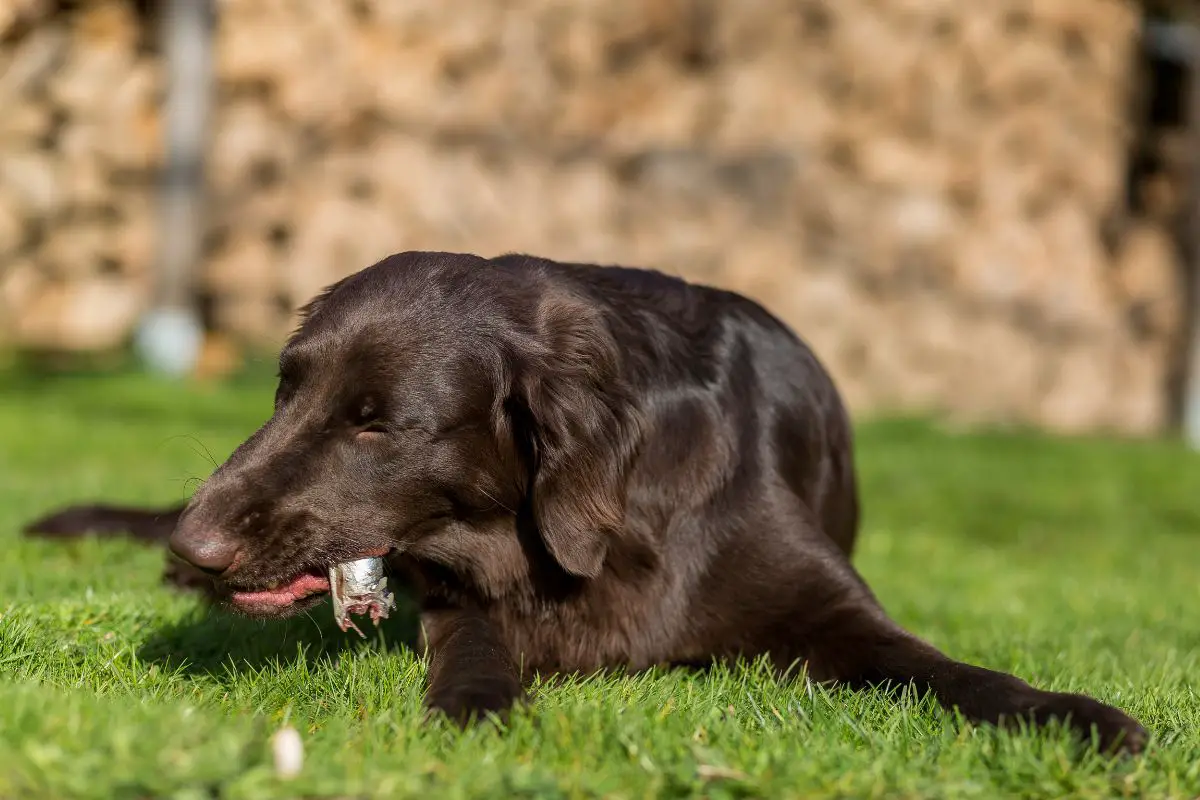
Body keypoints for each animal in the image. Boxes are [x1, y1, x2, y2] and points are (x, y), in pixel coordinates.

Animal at [23, 251, 1147, 758]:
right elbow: (476, 651)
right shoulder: (466, 599)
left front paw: (1074, 713)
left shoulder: (831, 609)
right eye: (284, 392)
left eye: (377, 424)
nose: (194, 542)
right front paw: (476, 708)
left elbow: (952, 669)